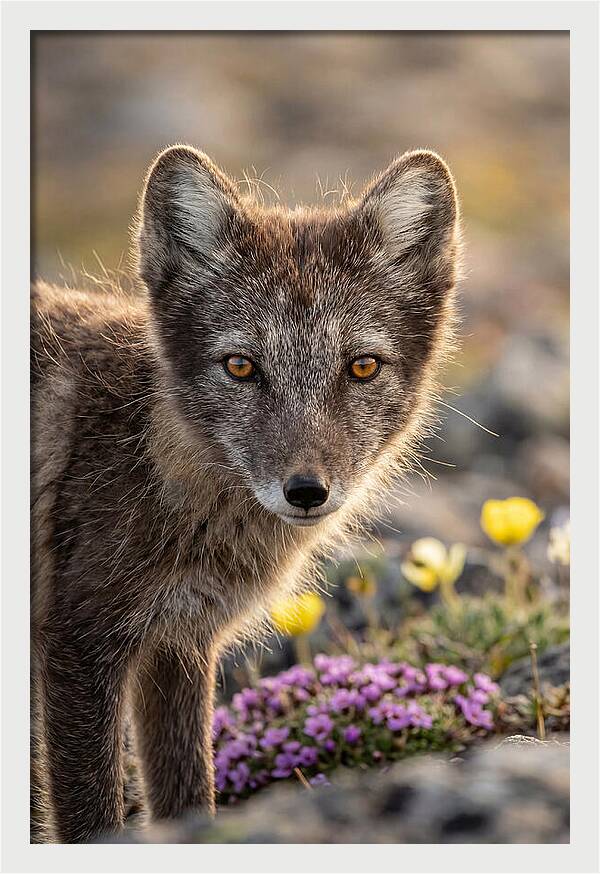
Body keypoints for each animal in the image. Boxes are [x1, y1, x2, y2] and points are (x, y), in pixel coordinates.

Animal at [30, 145, 461, 843]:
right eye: (240, 367)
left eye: (362, 367)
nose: (306, 492)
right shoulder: (79, 645)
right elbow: (92, 819)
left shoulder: (178, 646)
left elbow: (189, 799)